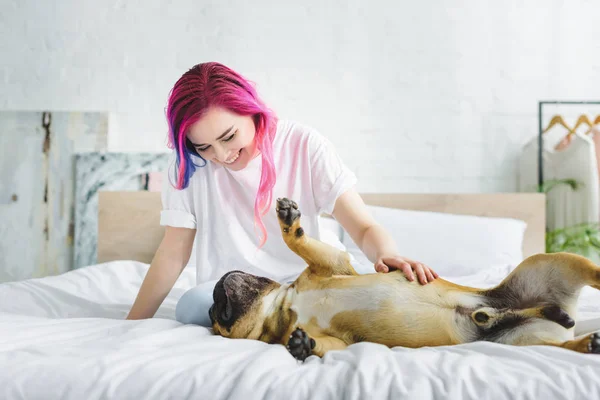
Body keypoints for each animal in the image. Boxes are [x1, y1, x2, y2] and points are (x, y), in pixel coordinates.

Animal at [207, 197, 600, 360]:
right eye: (216, 318)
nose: (214, 294)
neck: (285, 308)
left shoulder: (330, 265)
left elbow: (299, 242)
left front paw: (289, 220)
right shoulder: (339, 340)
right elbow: (324, 345)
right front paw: (303, 347)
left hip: (555, 262)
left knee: (592, 272)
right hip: (522, 342)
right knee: (557, 346)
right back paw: (586, 343)